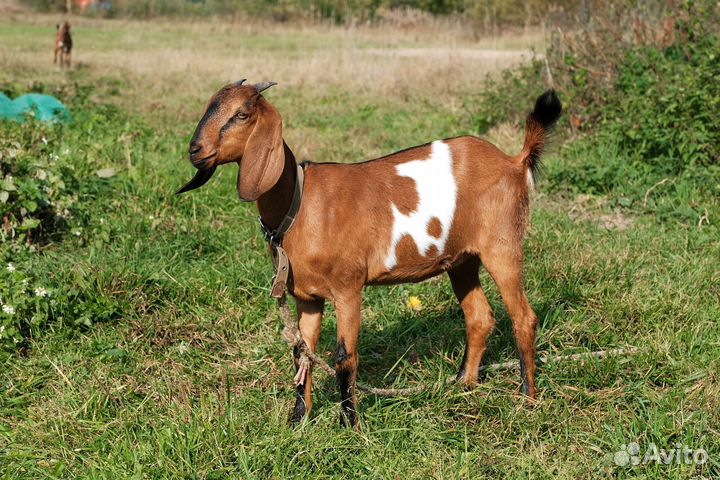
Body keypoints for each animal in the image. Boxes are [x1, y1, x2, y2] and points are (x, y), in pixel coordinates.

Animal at [177, 80, 562, 429]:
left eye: (241, 114)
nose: (195, 149)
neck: (301, 205)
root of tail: (514, 162)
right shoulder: (307, 296)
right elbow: (302, 353)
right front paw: (298, 421)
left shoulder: (348, 287)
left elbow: (345, 357)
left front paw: (350, 426)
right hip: (461, 259)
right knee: (479, 316)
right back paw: (462, 387)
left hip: (502, 244)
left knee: (523, 317)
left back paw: (526, 399)